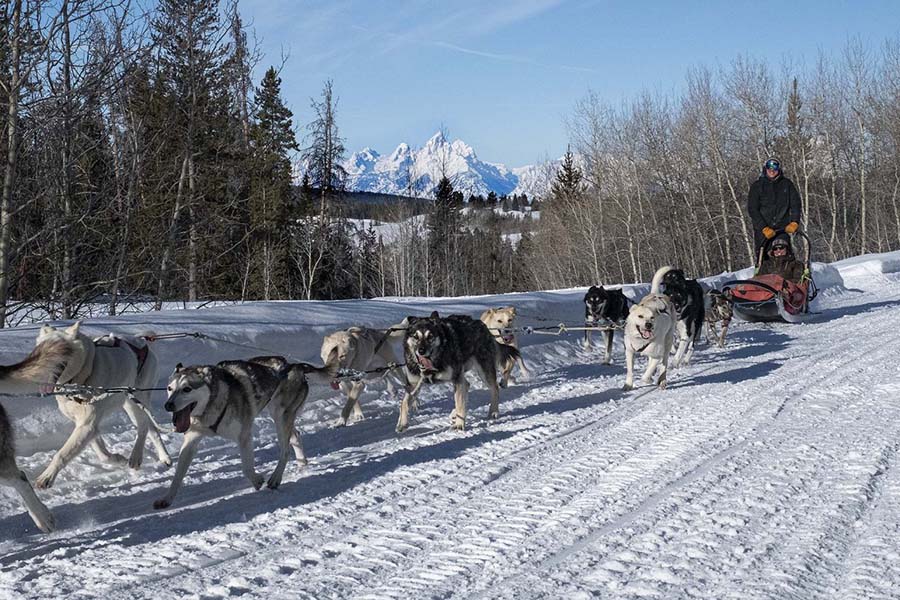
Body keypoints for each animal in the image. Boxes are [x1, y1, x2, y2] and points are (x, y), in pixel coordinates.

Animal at [155, 358, 334, 508]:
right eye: (169, 388)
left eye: (187, 389)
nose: (168, 405)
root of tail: (294, 366)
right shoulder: (191, 442)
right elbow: (177, 476)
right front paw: (167, 499)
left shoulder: (244, 436)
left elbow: (247, 468)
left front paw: (257, 481)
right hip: (282, 417)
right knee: (295, 435)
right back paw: (301, 462)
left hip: (280, 417)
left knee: (285, 450)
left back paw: (276, 477)